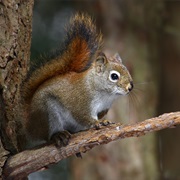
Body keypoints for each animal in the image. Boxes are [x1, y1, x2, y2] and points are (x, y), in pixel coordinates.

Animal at [21, 13, 134, 149]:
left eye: (127, 70)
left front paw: (104, 120)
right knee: (48, 134)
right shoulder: (81, 101)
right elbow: (83, 115)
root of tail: (29, 125)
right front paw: (97, 122)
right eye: (114, 76)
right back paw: (58, 135)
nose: (130, 87)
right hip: (47, 113)